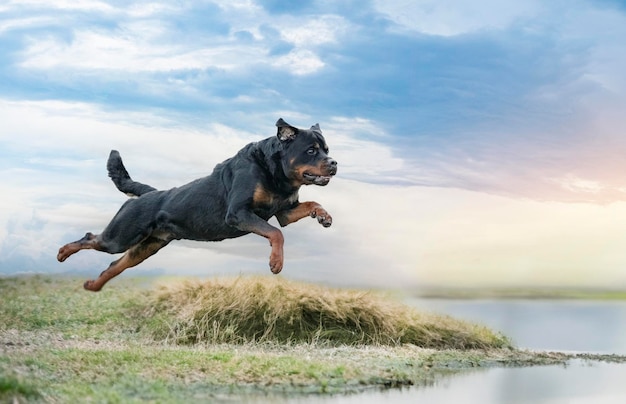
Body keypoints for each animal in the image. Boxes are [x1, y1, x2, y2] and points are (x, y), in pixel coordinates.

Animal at [58, 118, 336, 292]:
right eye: (311, 150)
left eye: (326, 149)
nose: (334, 163)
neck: (276, 172)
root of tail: (150, 194)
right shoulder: (238, 213)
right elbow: (276, 233)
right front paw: (276, 262)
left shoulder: (285, 211)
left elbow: (311, 203)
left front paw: (324, 216)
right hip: (120, 236)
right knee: (91, 238)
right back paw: (62, 253)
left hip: (145, 248)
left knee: (115, 266)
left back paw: (93, 286)